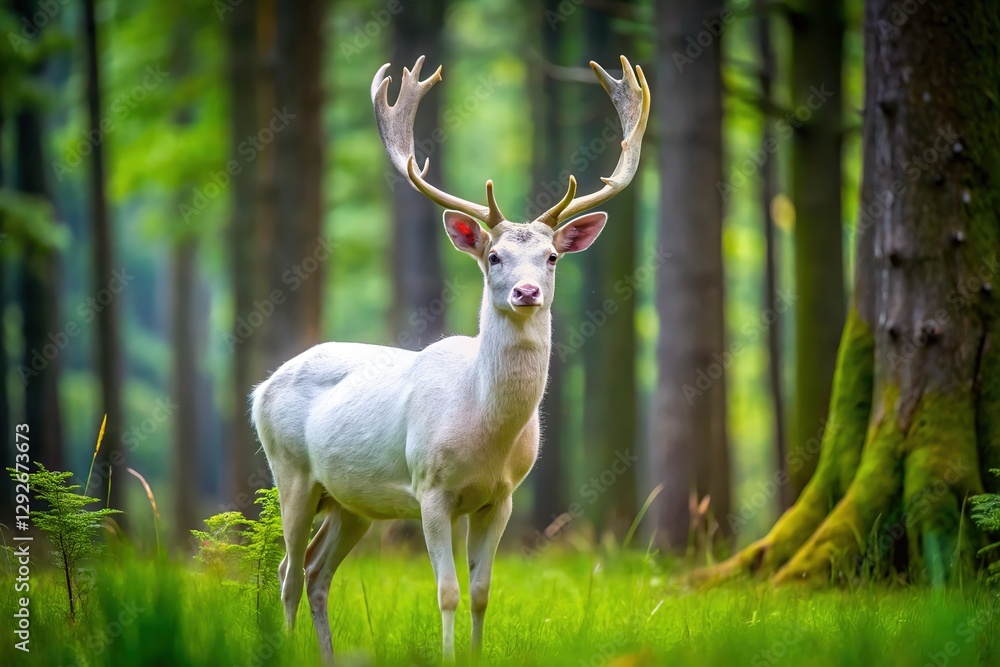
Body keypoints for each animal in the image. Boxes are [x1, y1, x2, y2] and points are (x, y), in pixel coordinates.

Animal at [250, 54, 649, 664]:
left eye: (552, 256)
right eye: (494, 256)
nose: (527, 292)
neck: (485, 428)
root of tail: (258, 390)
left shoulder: (502, 496)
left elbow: (482, 592)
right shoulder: (430, 488)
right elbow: (446, 591)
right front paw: (448, 654)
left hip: (351, 501)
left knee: (317, 572)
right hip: (289, 470)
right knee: (287, 573)